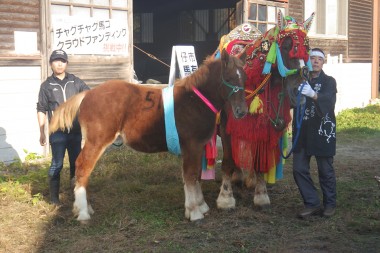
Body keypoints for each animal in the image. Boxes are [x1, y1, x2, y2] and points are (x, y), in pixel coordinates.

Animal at [49, 50, 248, 221]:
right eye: (228, 78)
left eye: (245, 77)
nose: (242, 111)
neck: (195, 101)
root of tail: (88, 93)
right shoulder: (192, 145)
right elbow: (190, 175)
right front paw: (194, 211)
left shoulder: (197, 147)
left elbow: (195, 175)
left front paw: (201, 205)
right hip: (96, 141)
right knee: (83, 167)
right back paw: (83, 212)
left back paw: (84, 208)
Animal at [215, 11, 314, 210]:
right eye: (286, 46)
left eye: (307, 49)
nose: (299, 90)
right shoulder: (226, 126)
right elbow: (228, 160)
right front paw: (225, 197)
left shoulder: (264, 127)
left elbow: (260, 160)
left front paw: (261, 194)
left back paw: (249, 179)